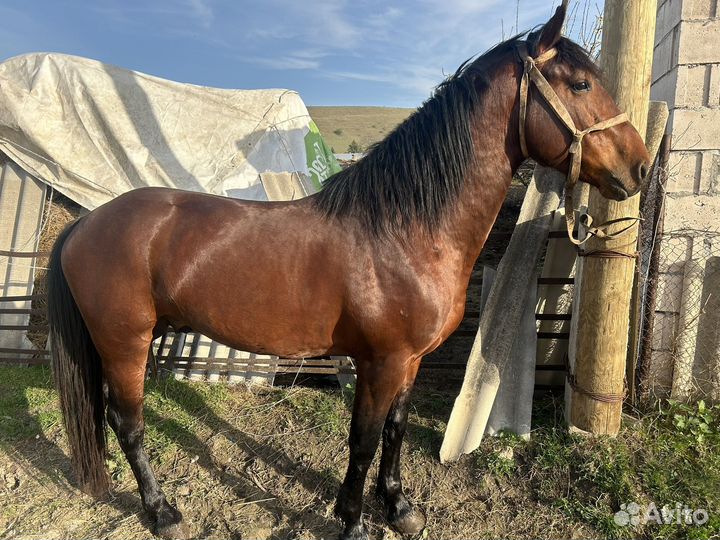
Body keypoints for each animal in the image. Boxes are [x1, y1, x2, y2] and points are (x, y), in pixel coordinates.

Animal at [47, 4, 650, 540]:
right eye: (579, 84)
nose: (639, 167)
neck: (405, 230)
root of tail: (87, 223)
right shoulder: (381, 361)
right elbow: (362, 439)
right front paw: (354, 522)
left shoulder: (409, 361)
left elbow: (395, 431)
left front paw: (399, 508)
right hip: (124, 342)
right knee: (127, 422)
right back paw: (162, 512)